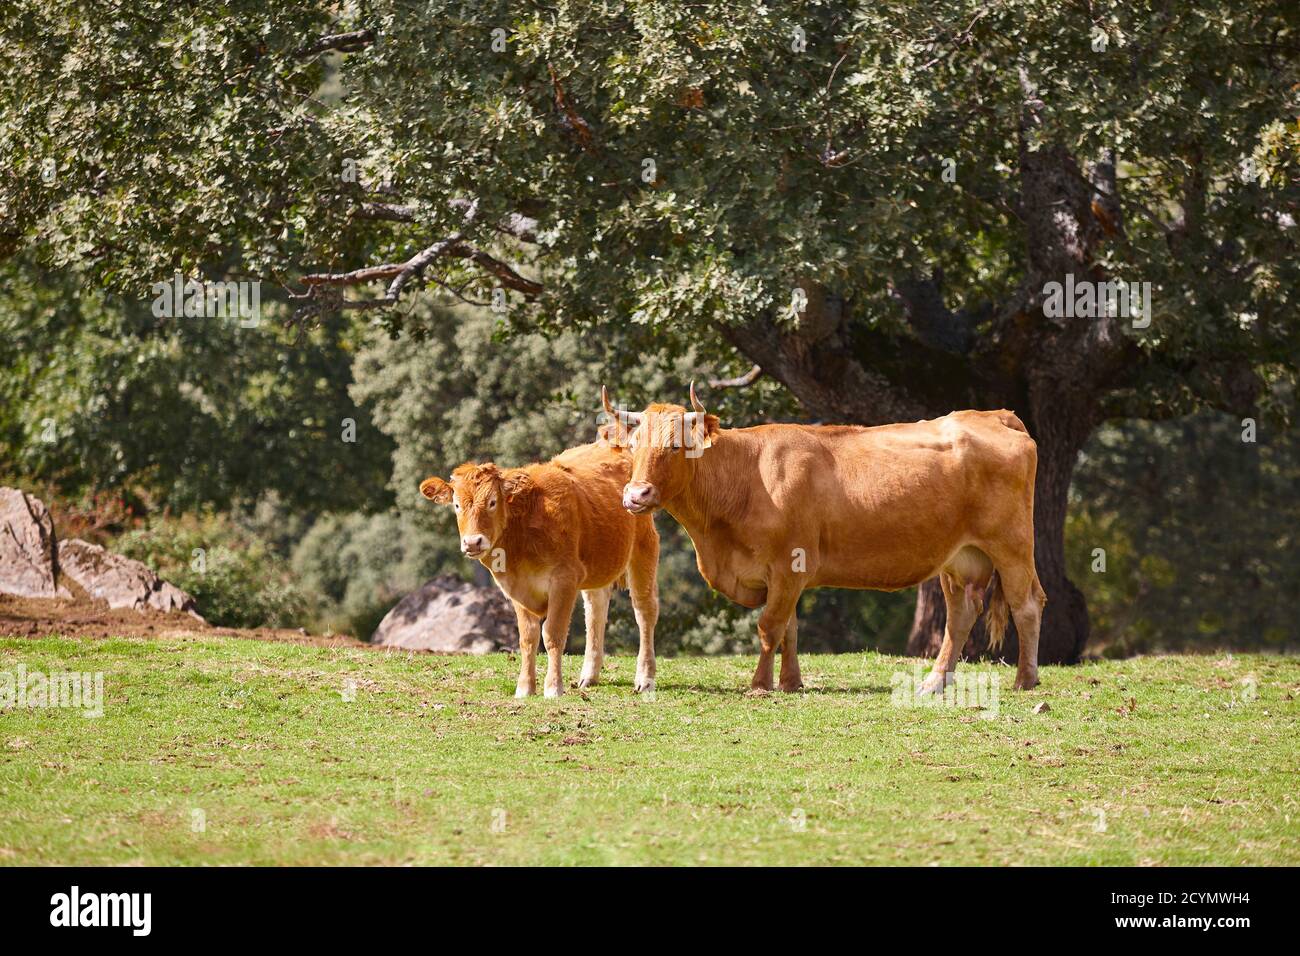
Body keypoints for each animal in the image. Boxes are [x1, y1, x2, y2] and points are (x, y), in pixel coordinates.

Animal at [419, 442, 660, 697]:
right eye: (456, 505)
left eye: (492, 502)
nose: (473, 542)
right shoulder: (515, 585)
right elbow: (528, 637)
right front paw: (525, 687)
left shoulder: (565, 579)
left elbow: (552, 633)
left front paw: (553, 686)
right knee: (596, 609)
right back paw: (589, 675)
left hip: (643, 549)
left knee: (644, 611)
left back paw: (645, 678)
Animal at [601, 384, 1046, 694]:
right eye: (634, 445)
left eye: (676, 445)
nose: (636, 495)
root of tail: (994, 415)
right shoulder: (784, 576)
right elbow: (790, 628)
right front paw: (790, 683)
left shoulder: (788, 564)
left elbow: (769, 626)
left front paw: (759, 684)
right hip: (960, 558)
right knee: (961, 614)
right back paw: (935, 681)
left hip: (1012, 545)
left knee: (1026, 603)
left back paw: (1025, 680)